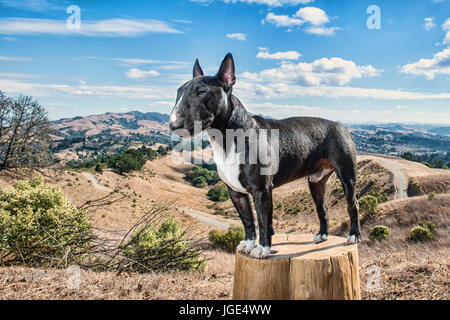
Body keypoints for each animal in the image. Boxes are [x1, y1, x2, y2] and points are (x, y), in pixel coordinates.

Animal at [170, 52, 362, 258]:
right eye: (178, 92)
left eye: (201, 92)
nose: (173, 125)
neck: (226, 138)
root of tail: (342, 126)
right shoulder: (235, 192)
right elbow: (247, 220)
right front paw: (248, 244)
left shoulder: (261, 190)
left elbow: (262, 221)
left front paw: (262, 248)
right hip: (316, 181)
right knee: (322, 206)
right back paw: (322, 234)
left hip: (347, 175)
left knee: (353, 204)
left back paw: (354, 235)